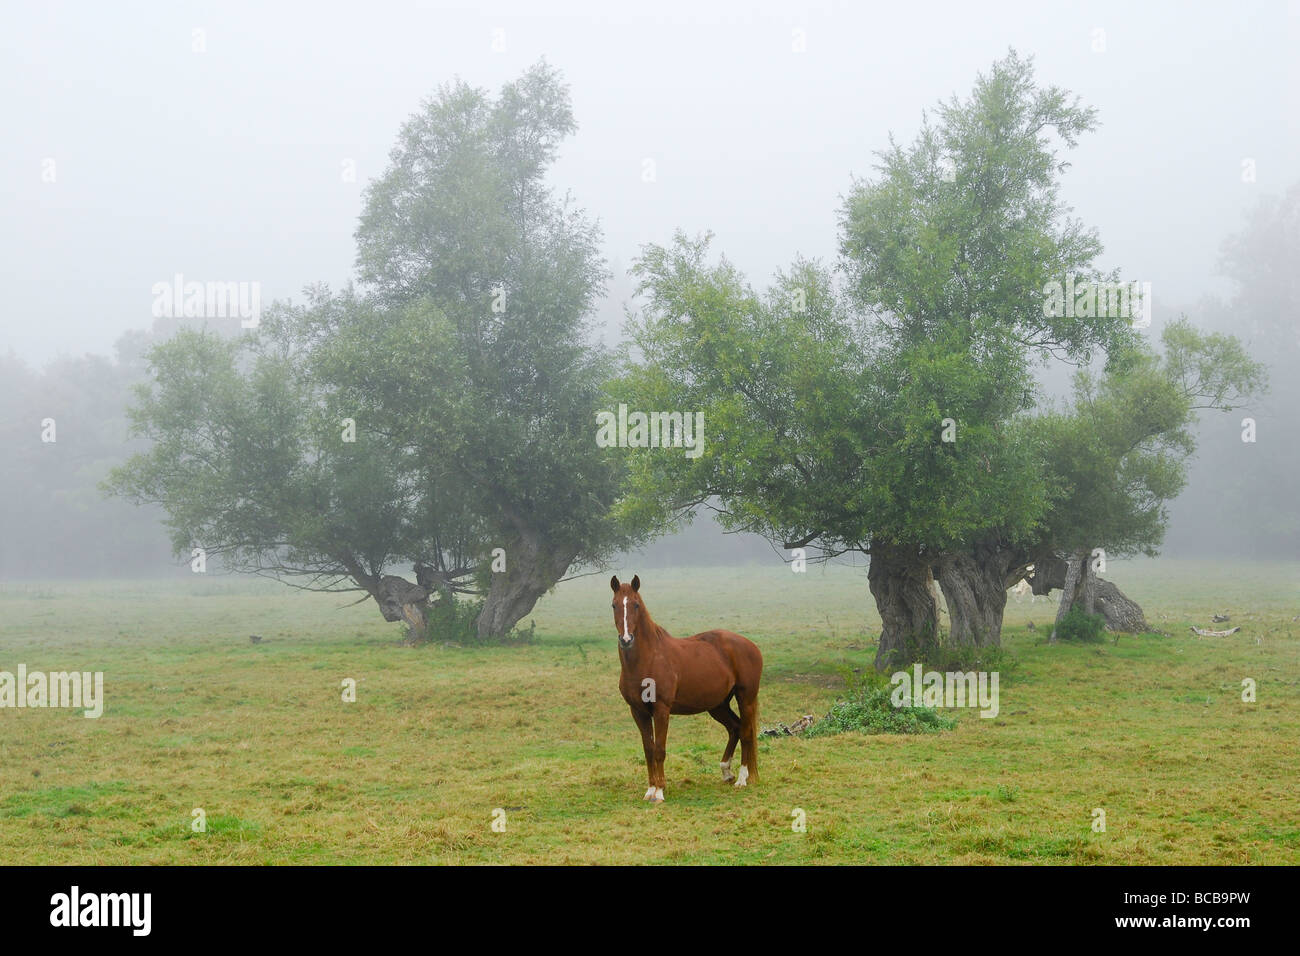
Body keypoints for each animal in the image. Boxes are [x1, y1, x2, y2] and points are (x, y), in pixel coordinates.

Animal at [610, 574, 763, 803]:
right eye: (614, 605)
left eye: (636, 605)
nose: (626, 639)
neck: (648, 659)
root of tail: (751, 646)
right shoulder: (638, 711)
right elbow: (648, 749)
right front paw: (650, 789)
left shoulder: (661, 710)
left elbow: (659, 749)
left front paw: (660, 792)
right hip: (717, 705)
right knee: (734, 728)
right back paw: (726, 771)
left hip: (746, 698)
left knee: (745, 732)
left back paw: (742, 779)